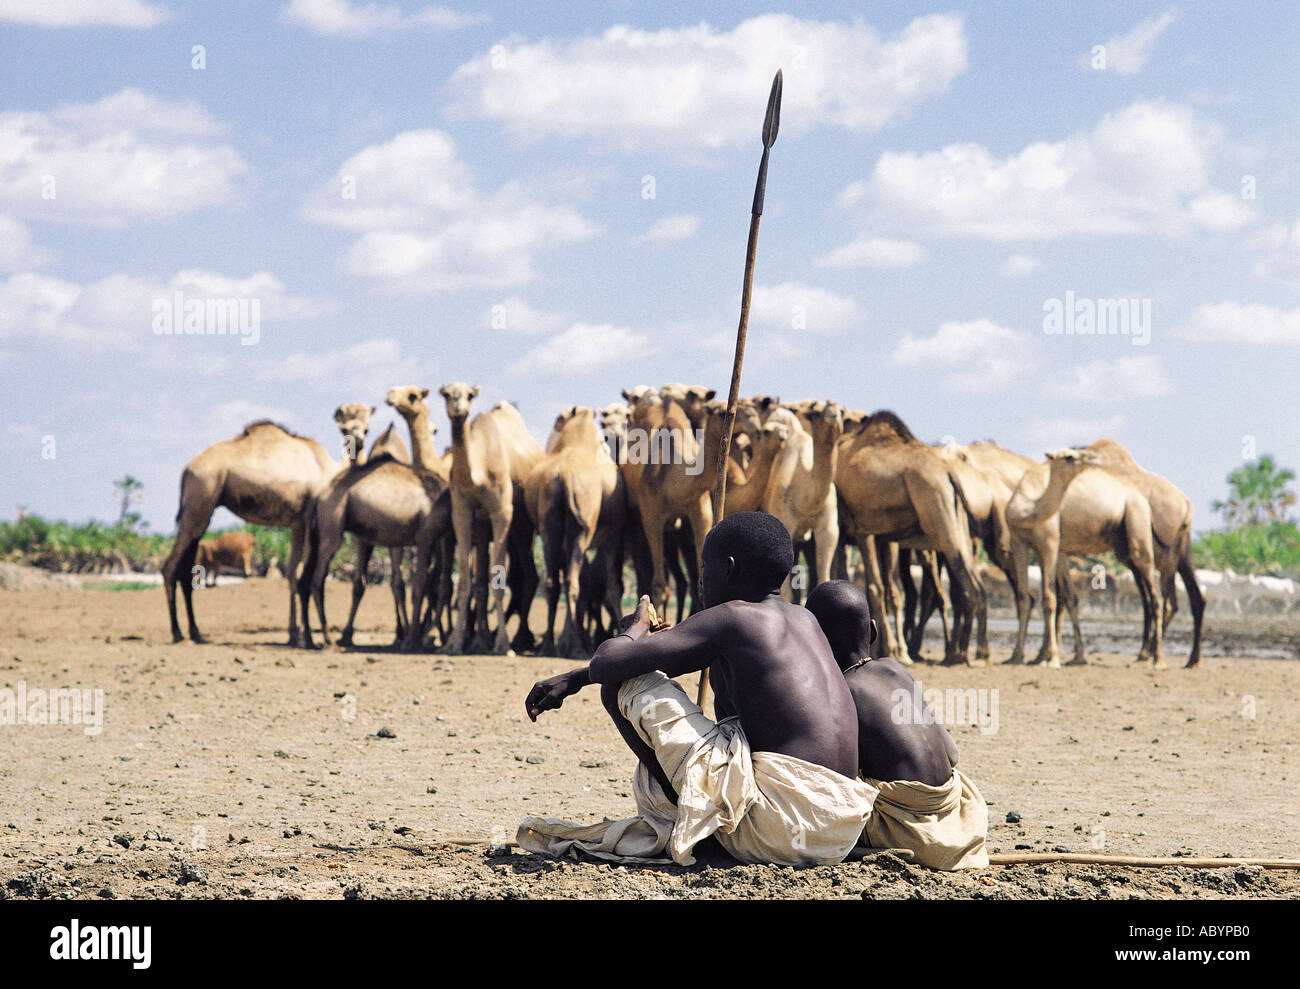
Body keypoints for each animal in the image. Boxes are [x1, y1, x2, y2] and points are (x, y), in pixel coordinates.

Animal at [159, 413, 348, 644]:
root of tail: (186, 470)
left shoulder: (297, 522)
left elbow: (293, 572)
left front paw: (295, 635)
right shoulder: (307, 518)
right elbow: (300, 573)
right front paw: (304, 637)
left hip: (201, 512)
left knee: (187, 572)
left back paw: (196, 633)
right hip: (200, 498)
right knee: (170, 568)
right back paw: (177, 633)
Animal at [436, 382, 538, 652]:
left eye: (470, 395)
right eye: (446, 394)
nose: (457, 405)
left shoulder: (502, 510)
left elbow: (497, 579)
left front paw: (503, 645)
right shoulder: (461, 511)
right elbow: (465, 579)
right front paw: (454, 643)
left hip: (523, 526)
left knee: (528, 576)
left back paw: (518, 639)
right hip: (483, 528)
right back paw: (481, 638)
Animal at [527, 402, 629, 655]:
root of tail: (563, 475)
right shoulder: (612, 537)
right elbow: (612, 587)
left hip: (550, 524)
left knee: (554, 582)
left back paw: (550, 645)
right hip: (583, 530)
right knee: (575, 583)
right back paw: (578, 646)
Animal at [837, 408, 977, 662]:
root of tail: (949, 473)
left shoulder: (863, 528)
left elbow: (877, 587)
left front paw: (895, 650)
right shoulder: (879, 533)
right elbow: (887, 588)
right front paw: (892, 649)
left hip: (939, 507)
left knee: (965, 585)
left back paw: (958, 653)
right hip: (955, 519)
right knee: (974, 584)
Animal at [1003, 449, 1170, 665]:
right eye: (1069, 457)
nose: (1092, 458)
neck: (1024, 508)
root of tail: (1143, 501)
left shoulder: (1050, 541)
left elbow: (1050, 599)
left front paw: (1053, 659)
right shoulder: (1020, 543)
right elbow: (1027, 598)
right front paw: (1018, 656)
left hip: (1138, 525)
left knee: (1155, 595)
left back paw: (1158, 660)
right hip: (1124, 548)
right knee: (1148, 597)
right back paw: (1145, 656)